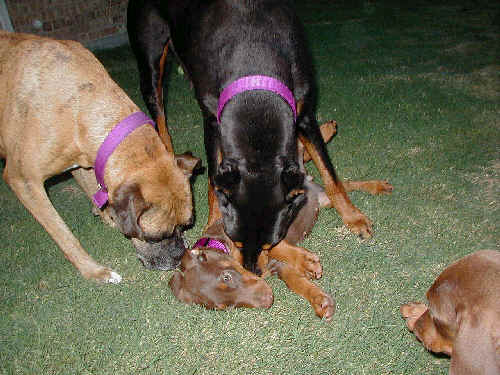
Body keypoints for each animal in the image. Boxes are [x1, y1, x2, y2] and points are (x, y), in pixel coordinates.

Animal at [0, 32, 199, 284]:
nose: (180, 257)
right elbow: (64, 234)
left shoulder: (85, 163)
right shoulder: (24, 181)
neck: (80, 107)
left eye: (186, 225)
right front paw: (94, 271)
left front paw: (107, 216)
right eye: (155, 237)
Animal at [127, 0, 384, 272]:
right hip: (150, 59)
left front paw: (353, 217)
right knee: (159, 115)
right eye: (236, 241)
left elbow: (330, 174)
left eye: (271, 243)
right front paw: (213, 221)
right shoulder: (213, 123)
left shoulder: (304, 113)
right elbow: (212, 183)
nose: (252, 271)